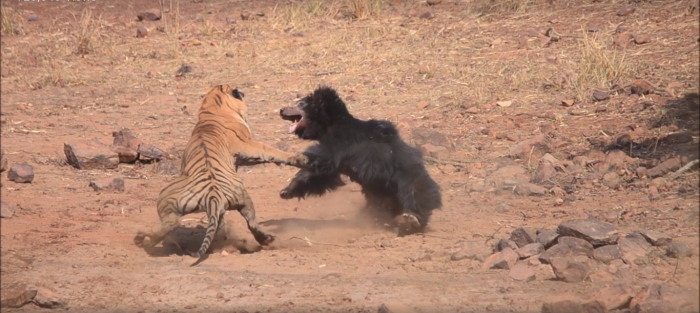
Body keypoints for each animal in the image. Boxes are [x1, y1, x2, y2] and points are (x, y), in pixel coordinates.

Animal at [133, 84, 306, 264]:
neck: (211, 110)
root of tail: (213, 195)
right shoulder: (247, 145)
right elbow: (270, 150)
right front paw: (299, 158)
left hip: (174, 199)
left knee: (174, 223)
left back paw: (144, 239)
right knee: (251, 223)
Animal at [278, 86, 442, 235]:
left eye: (300, 103)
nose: (281, 110)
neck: (331, 125)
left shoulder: (341, 143)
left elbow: (322, 163)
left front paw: (295, 163)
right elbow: (322, 176)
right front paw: (286, 191)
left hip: (406, 175)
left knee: (417, 194)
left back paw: (413, 220)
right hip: (381, 189)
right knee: (384, 204)